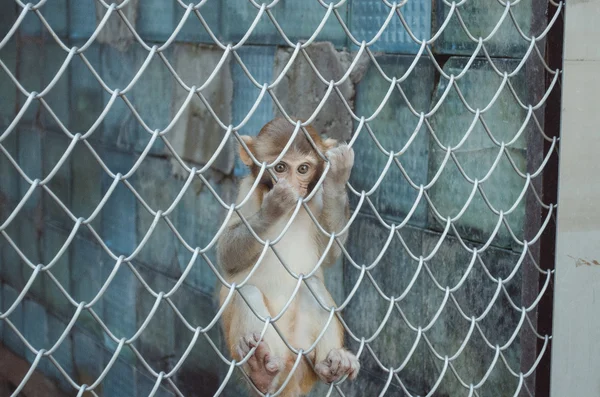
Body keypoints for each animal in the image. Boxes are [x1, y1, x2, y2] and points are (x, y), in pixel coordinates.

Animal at [218, 117, 360, 396]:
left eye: (303, 168)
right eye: (280, 168)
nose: (294, 186)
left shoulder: (316, 199)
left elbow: (331, 253)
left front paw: (337, 178)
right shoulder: (247, 190)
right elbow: (225, 254)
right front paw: (274, 207)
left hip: (304, 356)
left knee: (312, 285)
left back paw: (333, 364)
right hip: (262, 349)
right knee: (247, 292)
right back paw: (261, 373)